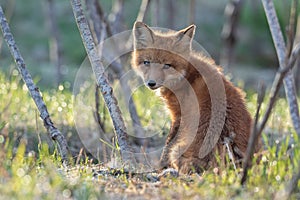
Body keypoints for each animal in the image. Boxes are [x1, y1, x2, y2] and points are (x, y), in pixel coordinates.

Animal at [131, 20, 260, 173]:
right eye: (147, 62)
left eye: (167, 65)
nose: (151, 83)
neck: (185, 75)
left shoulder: (177, 116)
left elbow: (167, 145)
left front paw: (159, 168)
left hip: (178, 149)